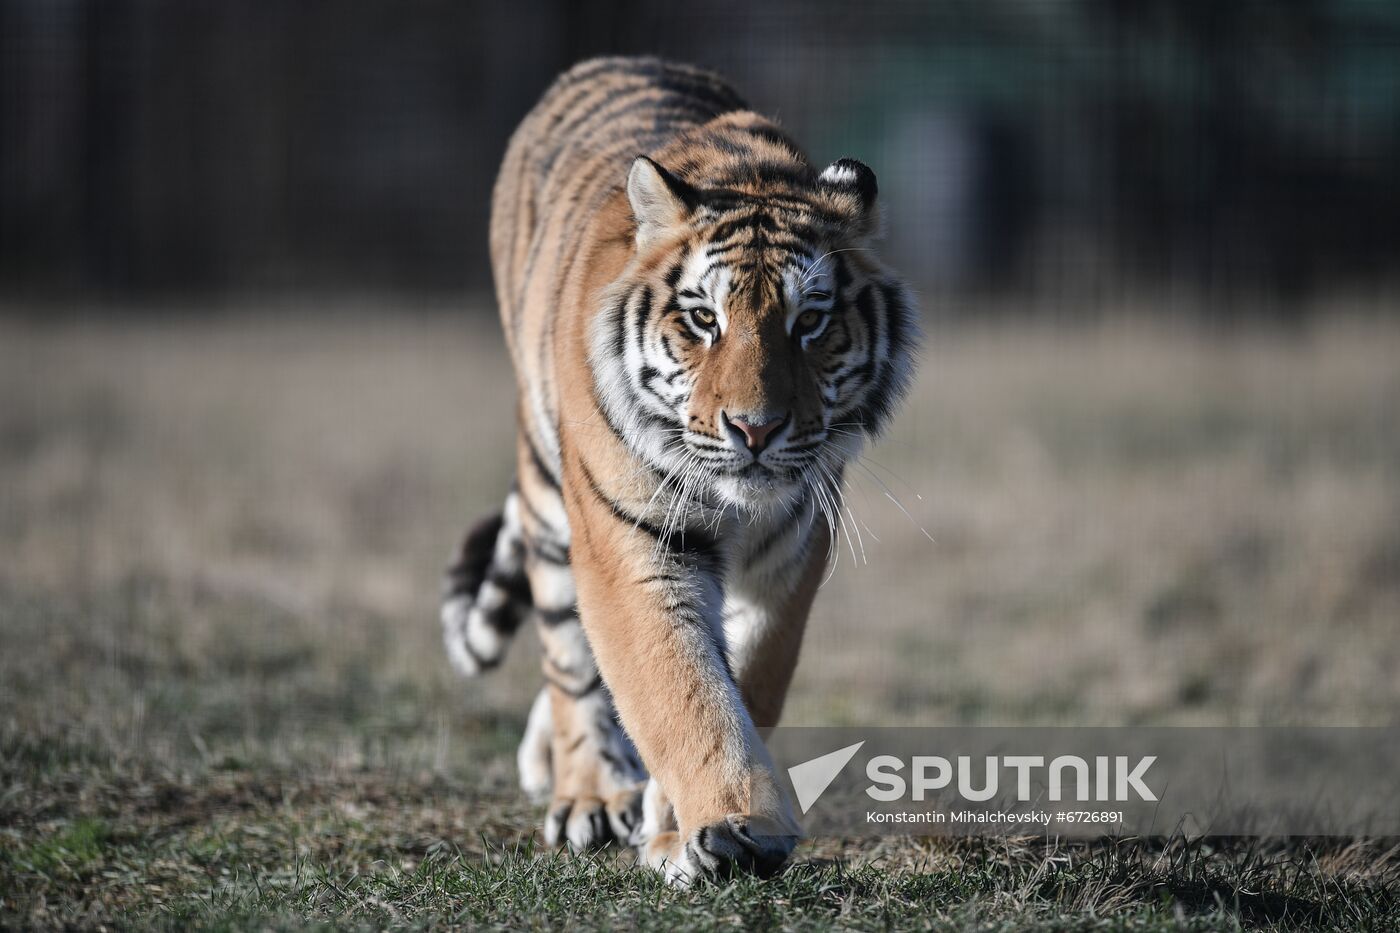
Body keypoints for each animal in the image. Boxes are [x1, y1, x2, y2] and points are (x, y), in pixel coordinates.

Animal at [441, 56, 918, 884]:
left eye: (810, 322)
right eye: (704, 319)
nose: (755, 428)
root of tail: (613, 60)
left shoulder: (795, 551)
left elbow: (748, 678)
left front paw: (680, 820)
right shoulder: (635, 544)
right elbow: (682, 688)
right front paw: (734, 825)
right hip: (552, 502)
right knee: (568, 655)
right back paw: (588, 793)